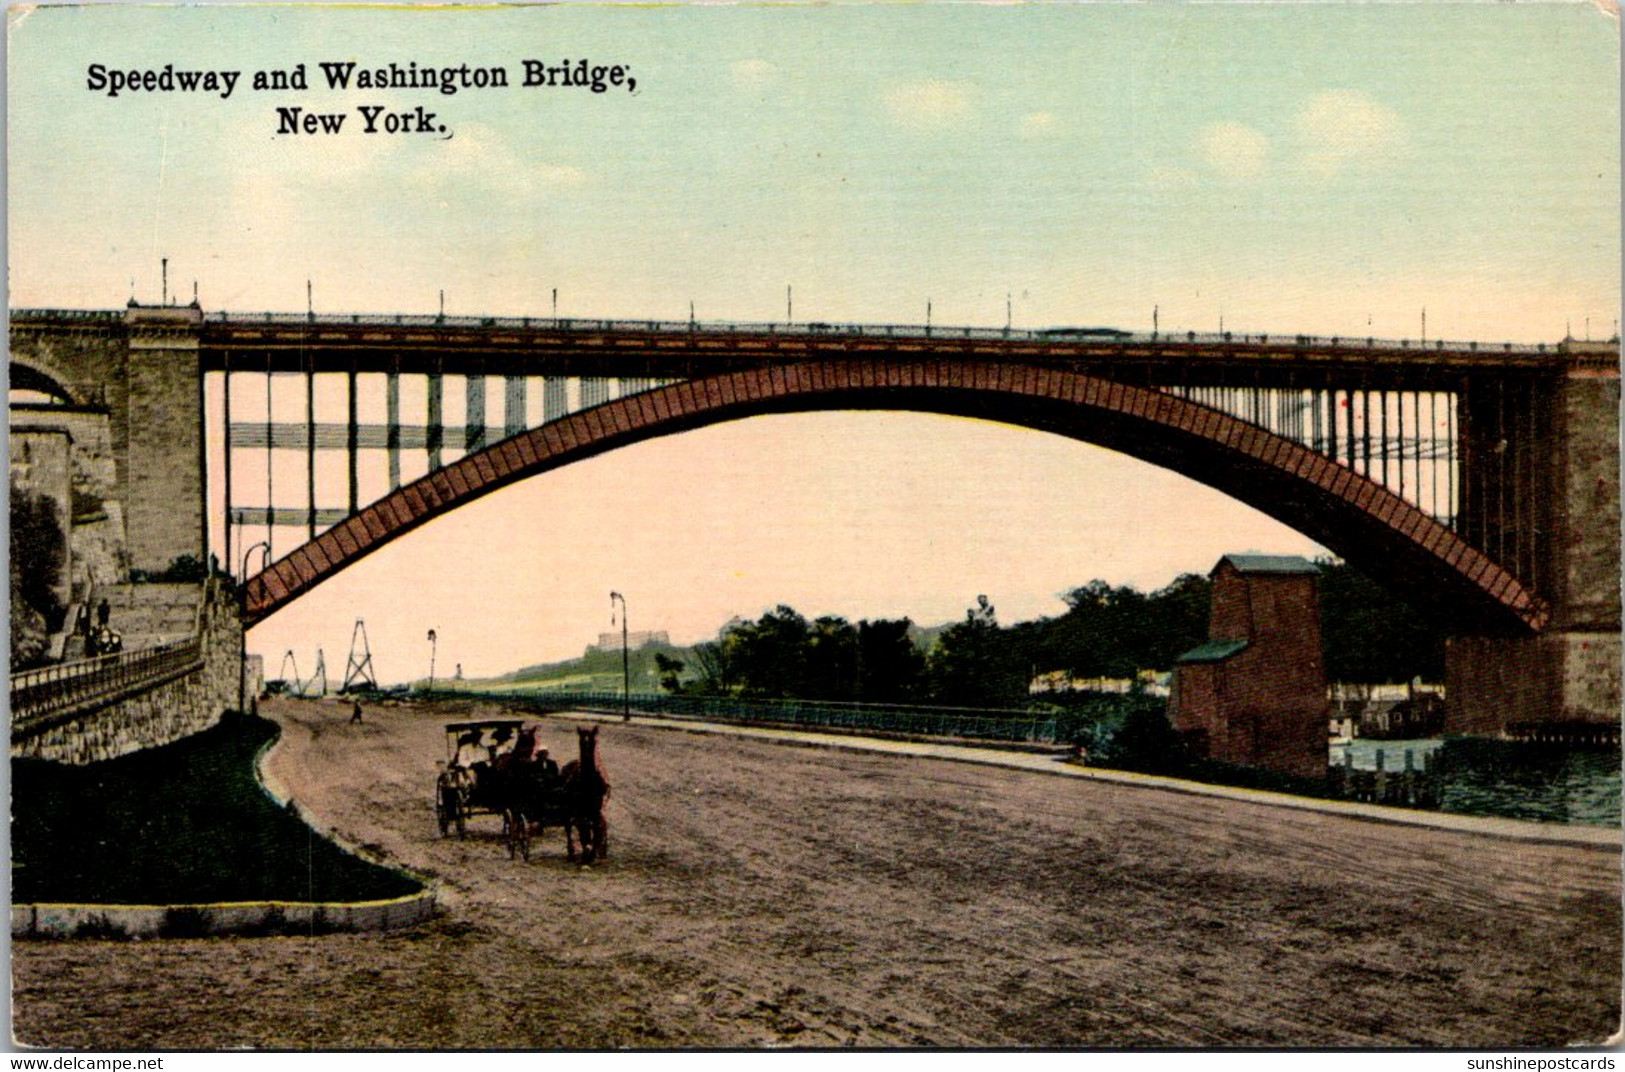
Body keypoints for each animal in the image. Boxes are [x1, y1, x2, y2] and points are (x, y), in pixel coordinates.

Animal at [559, 721, 611, 864]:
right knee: (569, 827)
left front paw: (595, 853)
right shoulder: (580, 811)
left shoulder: (598, 809)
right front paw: (587, 853)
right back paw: (572, 852)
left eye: (593, 741)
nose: (587, 755)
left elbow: (598, 829)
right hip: (568, 809)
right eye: (581, 741)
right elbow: (584, 831)